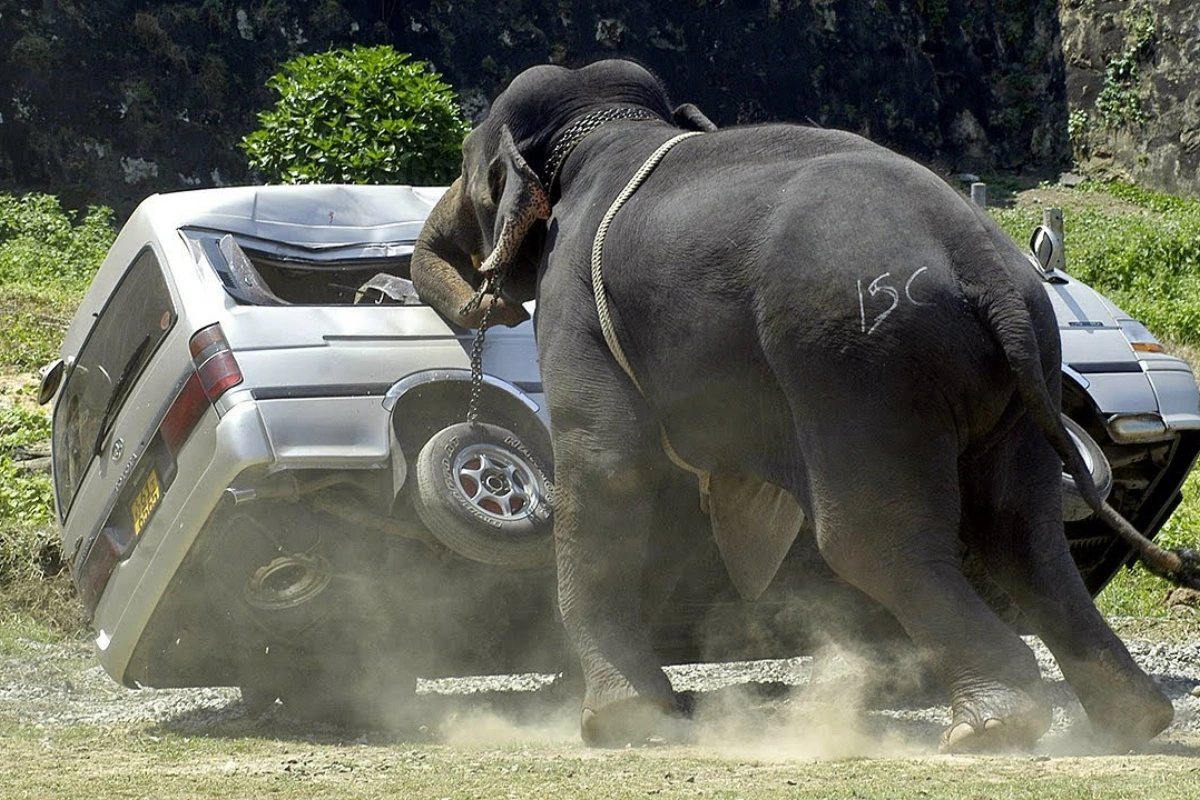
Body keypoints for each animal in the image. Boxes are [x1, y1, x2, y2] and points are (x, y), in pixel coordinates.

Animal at [408, 59, 1176, 753]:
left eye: (471, 170)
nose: (486, 299)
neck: (612, 128)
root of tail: (985, 267)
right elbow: (673, 496)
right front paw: (649, 709)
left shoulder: (573, 301)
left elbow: (612, 467)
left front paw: (613, 723)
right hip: (1020, 367)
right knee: (1024, 529)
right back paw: (1132, 720)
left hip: (856, 363)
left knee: (871, 535)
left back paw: (992, 727)